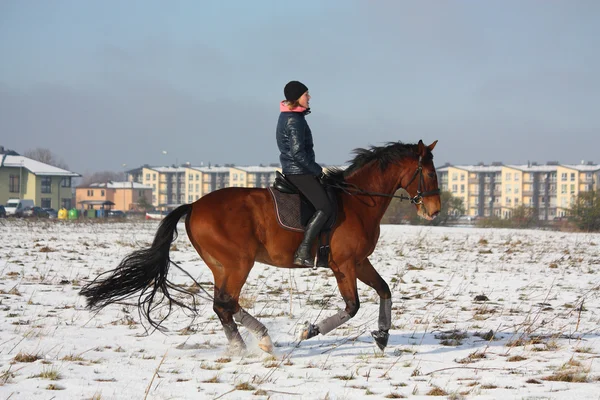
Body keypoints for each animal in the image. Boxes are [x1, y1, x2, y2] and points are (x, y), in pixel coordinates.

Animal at [81, 140, 440, 354]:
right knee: (225, 304)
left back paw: (253, 342)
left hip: (223, 266)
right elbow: (352, 307)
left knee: (224, 304)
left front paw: (382, 335)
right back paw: (253, 345)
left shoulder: (361, 261)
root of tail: (194, 205)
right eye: (428, 172)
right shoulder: (345, 265)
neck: (357, 201)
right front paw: (310, 331)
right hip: (238, 263)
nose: (434, 211)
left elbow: (384, 290)